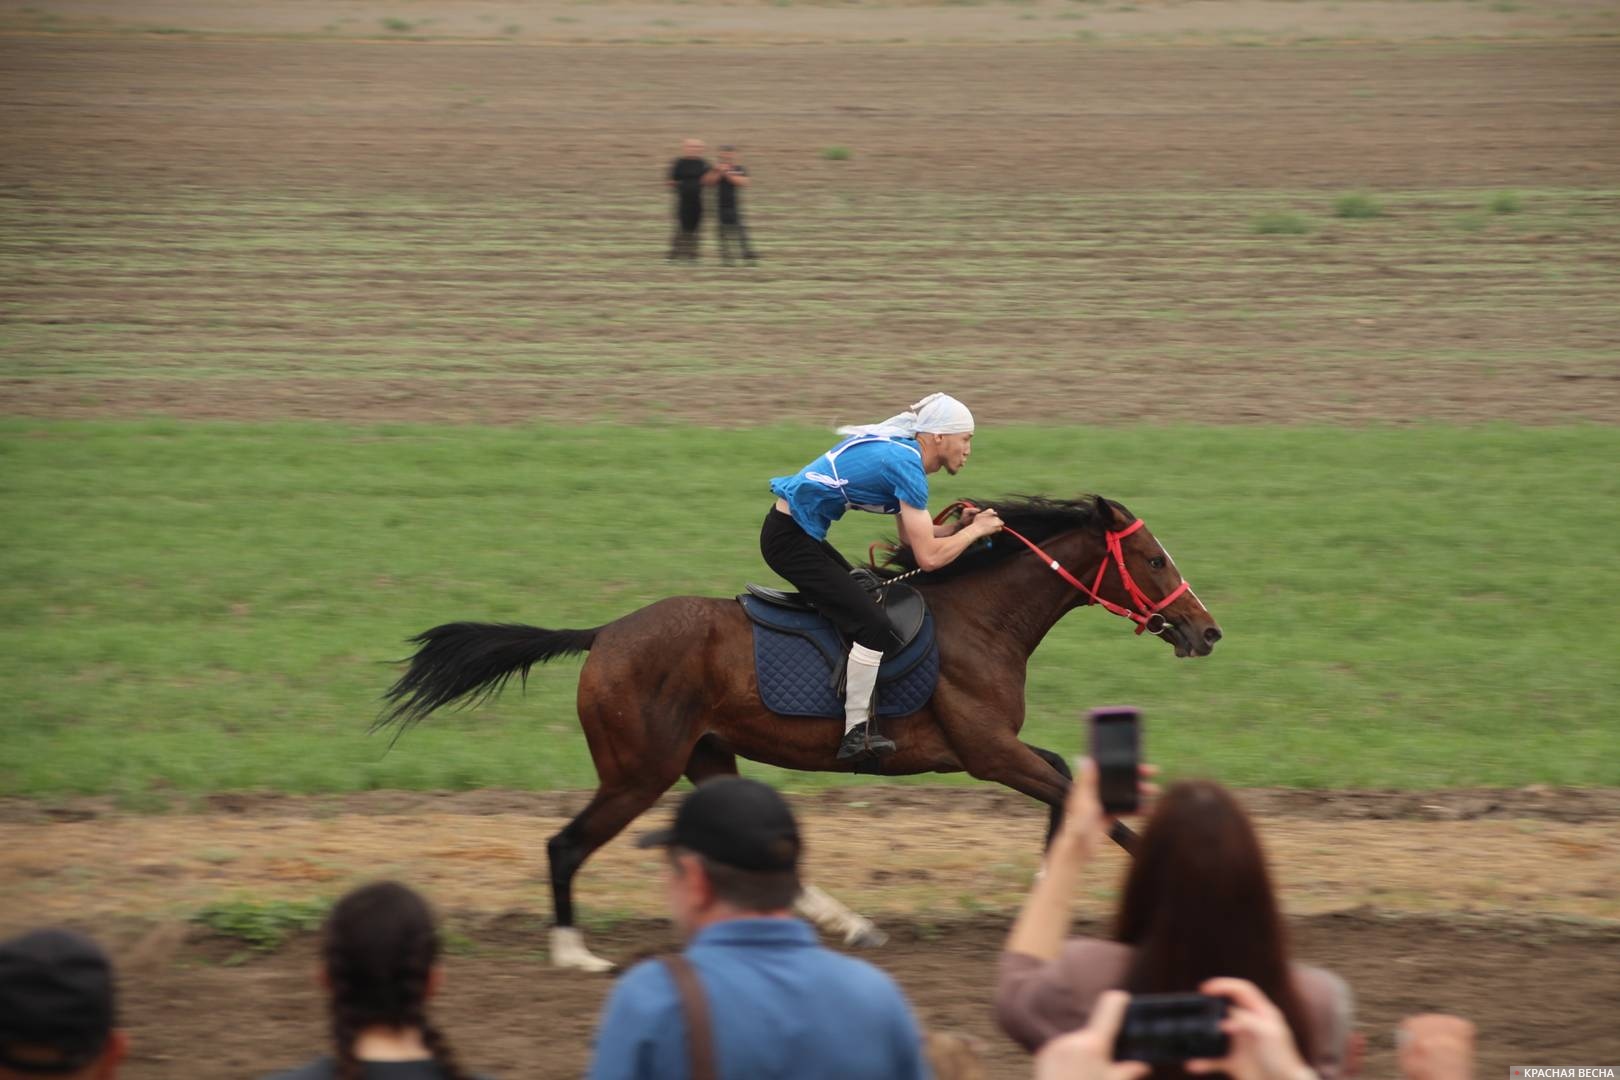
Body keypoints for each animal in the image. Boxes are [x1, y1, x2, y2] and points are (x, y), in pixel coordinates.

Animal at [375, 495, 1218, 971]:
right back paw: (574, 954)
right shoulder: (986, 753)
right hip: (637, 772)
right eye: (1153, 558)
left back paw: (846, 922)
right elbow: (1081, 796)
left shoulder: (994, 751)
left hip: (706, 758)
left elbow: (1066, 781)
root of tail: (603, 635)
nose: (1206, 630)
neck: (982, 620)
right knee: (564, 846)